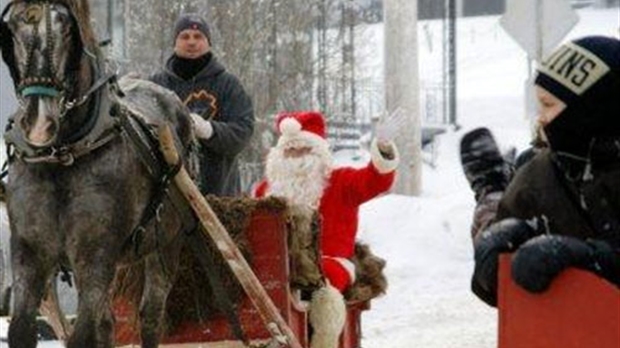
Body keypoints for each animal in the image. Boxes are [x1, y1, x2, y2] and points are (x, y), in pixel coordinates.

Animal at [0, 1, 197, 346]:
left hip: (167, 243)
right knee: (107, 322)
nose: (38, 122)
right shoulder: (28, 250)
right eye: (11, 27)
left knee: (150, 314)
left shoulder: (96, 253)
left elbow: (84, 333)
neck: (63, 154)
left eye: (67, 28)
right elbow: (21, 327)